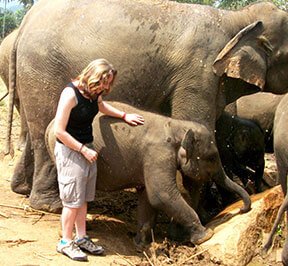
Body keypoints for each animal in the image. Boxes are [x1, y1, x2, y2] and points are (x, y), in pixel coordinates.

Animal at [6, 0, 288, 212]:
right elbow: (197, 125)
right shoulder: (200, 73)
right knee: (46, 126)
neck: (238, 20)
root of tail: (25, 23)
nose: (243, 206)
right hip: (42, 68)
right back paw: (50, 205)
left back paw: (22, 189)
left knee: (35, 128)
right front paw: (203, 215)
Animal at [45, 101, 250, 247]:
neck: (177, 125)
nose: (241, 209)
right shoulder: (158, 154)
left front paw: (142, 245)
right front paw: (206, 236)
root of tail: (50, 126)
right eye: (213, 157)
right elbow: (162, 195)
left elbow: (147, 197)